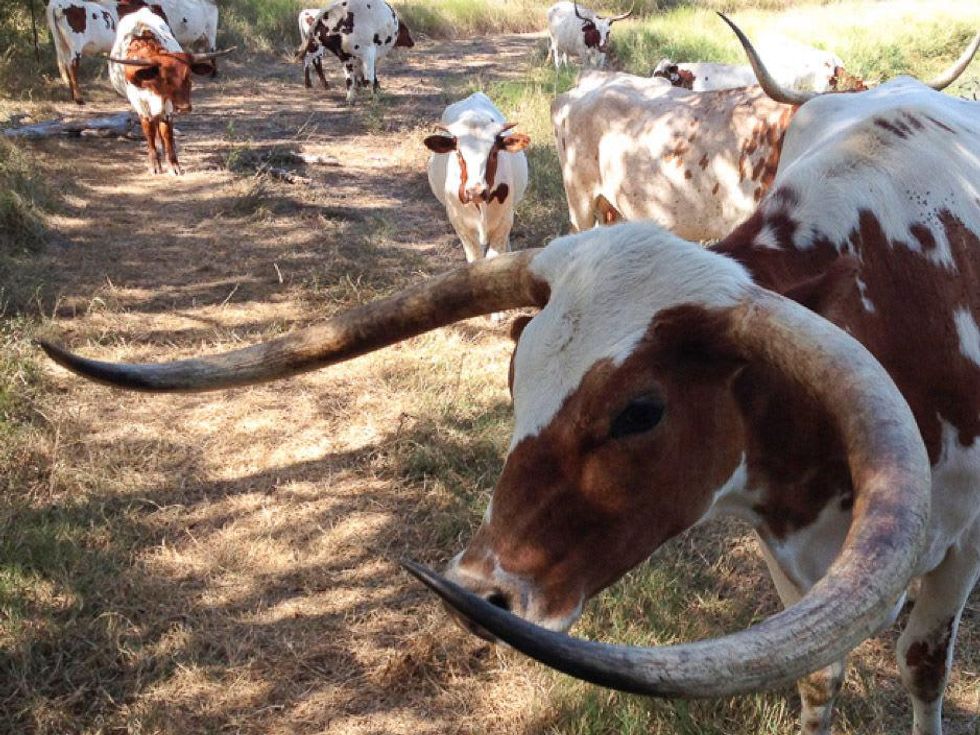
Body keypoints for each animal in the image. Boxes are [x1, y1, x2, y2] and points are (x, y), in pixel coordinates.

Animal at [45, 0, 219, 104]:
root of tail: (58, 4)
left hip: (61, 43)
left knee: (64, 64)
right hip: (75, 43)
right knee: (72, 65)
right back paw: (79, 98)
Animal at [108, 7, 228, 175]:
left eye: (188, 76)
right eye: (164, 78)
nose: (184, 107)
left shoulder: (167, 104)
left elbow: (167, 132)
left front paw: (173, 164)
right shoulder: (140, 104)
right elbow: (149, 130)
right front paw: (154, 164)